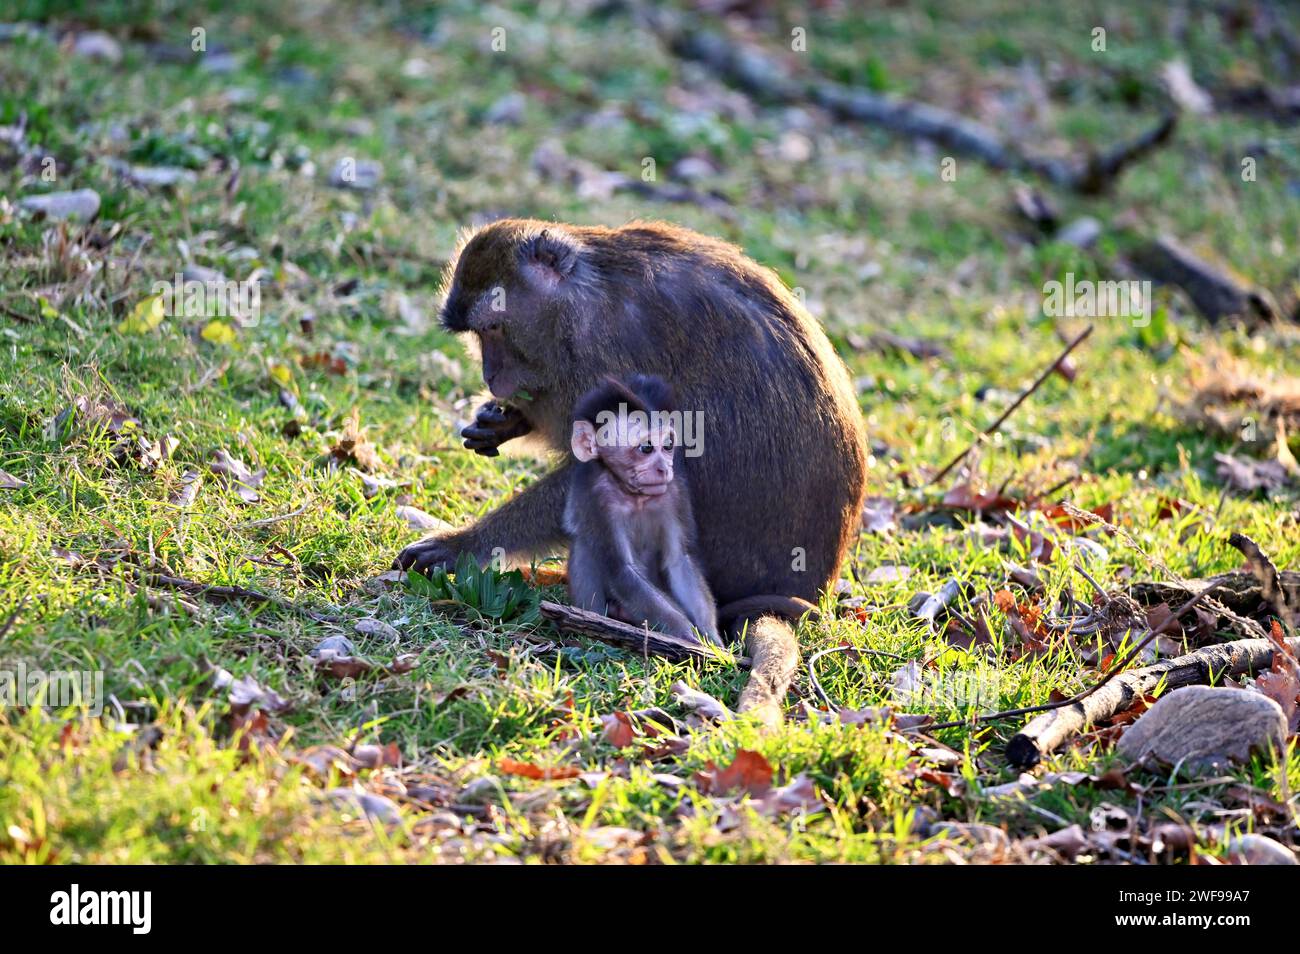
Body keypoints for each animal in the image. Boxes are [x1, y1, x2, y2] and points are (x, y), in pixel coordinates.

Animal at [561, 376, 722, 647]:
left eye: (667, 445)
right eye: (646, 448)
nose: (664, 468)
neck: (633, 494)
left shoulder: (674, 490)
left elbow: (679, 559)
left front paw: (712, 638)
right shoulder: (596, 495)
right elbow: (623, 571)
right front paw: (685, 632)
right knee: (585, 547)